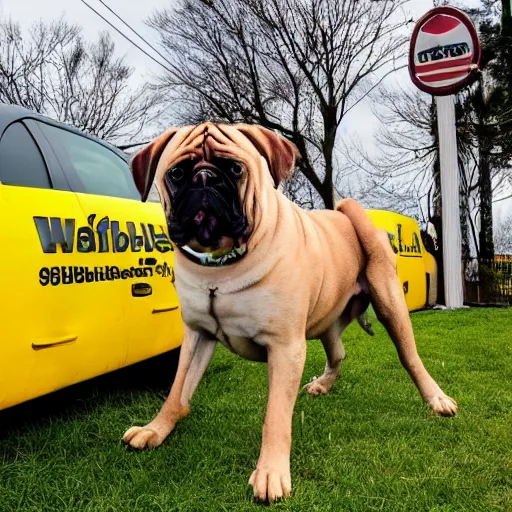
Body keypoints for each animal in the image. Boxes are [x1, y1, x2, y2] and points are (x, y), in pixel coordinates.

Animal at [122, 123, 458, 500]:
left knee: (409, 356)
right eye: (177, 174)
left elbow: (276, 416)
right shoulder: (198, 335)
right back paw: (323, 384)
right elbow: (177, 391)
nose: (204, 179)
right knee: (338, 352)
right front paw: (156, 429)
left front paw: (270, 472)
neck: (220, 270)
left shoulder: (285, 347)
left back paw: (436, 399)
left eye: (234, 169)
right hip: (327, 317)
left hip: (389, 303)